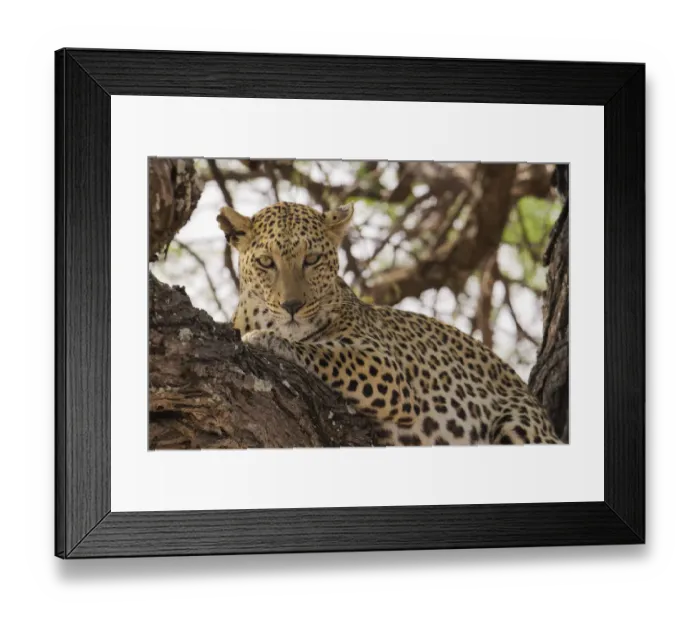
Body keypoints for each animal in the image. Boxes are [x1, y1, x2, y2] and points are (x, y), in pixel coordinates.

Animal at [217, 201, 562, 447]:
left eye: (311, 259)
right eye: (266, 262)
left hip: (518, 424)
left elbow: (321, 352)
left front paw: (266, 339)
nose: (292, 306)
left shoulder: (384, 366)